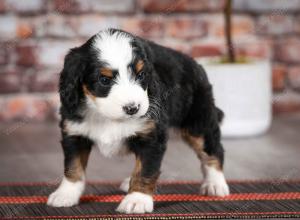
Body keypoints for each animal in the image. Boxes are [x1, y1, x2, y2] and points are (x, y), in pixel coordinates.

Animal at [47, 28, 230, 214]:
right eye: (104, 80)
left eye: (141, 75)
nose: (132, 108)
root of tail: (196, 64)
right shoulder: (74, 133)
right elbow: (73, 166)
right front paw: (66, 194)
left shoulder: (151, 137)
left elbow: (145, 170)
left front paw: (137, 199)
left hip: (198, 123)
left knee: (214, 151)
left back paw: (215, 184)